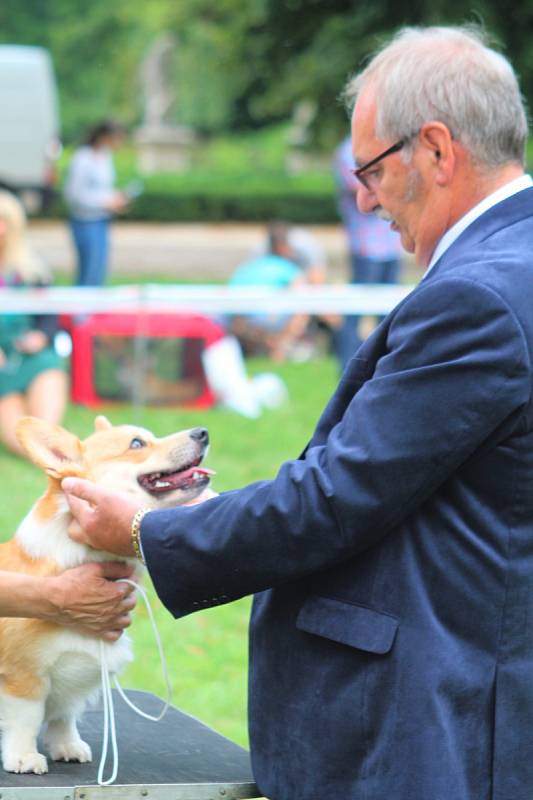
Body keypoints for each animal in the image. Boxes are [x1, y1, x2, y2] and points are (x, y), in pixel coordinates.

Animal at [0, 418, 212, 776]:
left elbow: (64, 715)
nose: (203, 433)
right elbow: (27, 718)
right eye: (137, 444)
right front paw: (24, 757)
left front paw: (67, 747)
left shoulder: (75, 675)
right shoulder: (22, 674)